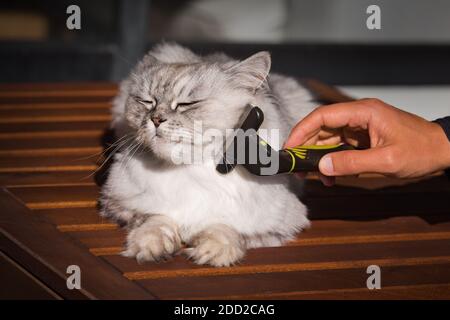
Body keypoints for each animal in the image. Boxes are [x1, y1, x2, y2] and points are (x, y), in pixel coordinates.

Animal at [100, 42, 314, 268]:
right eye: (148, 102)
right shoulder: (119, 204)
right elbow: (157, 220)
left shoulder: (280, 223)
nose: (156, 119)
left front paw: (212, 253)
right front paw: (150, 247)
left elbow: (225, 228)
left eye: (187, 104)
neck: (189, 172)